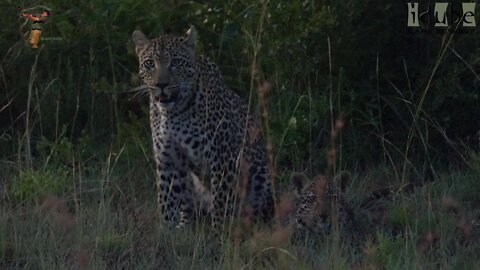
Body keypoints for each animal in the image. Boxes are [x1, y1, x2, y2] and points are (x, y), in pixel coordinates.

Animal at [131, 25, 274, 236]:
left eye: (176, 62)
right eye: (149, 64)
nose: (161, 85)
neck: (173, 112)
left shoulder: (222, 158)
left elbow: (220, 201)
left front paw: (219, 235)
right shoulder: (168, 159)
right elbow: (166, 200)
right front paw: (166, 234)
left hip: (260, 176)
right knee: (189, 209)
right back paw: (184, 227)